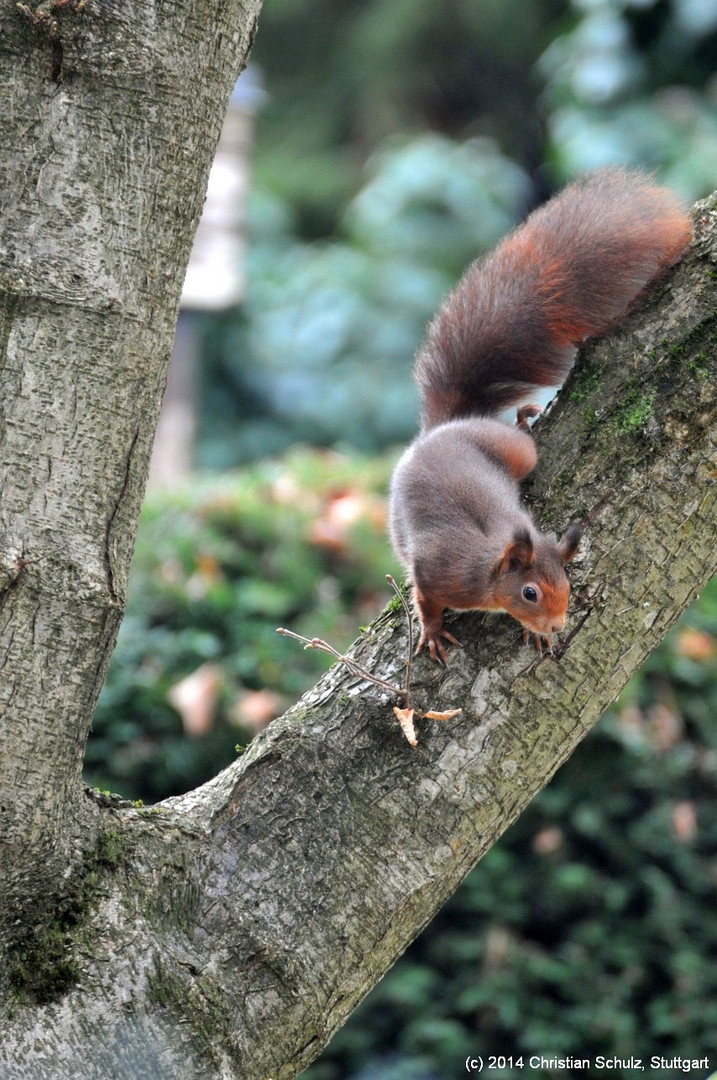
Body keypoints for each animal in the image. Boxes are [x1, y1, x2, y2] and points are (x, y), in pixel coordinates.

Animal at [388, 167, 691, 660]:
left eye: (567, 585)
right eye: (530, 592)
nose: (557, 625)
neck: (488, 572)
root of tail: (447, 427)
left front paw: (534, 633)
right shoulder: (436, 570)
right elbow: (424, 598)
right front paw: (432, 631)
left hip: (517, 455)